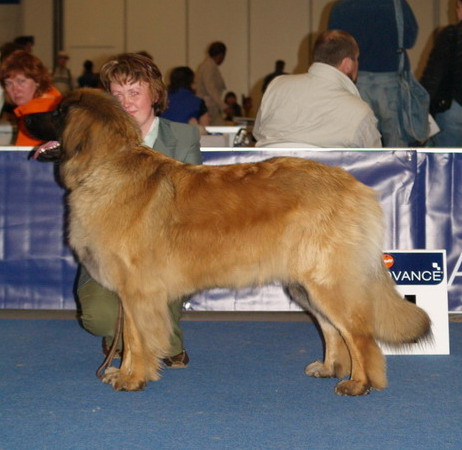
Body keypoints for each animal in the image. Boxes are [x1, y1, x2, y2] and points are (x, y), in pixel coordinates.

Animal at [25, 88, 431, 396]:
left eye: (58, 112)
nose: (22, 116)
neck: (106, 165)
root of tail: (356, 186)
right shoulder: (132, 293)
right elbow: (129, 337)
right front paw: (125, 372)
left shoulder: (138, 291)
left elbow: (137, 339)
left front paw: (132, 377)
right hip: (304, 285)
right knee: (333, 329)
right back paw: (330, 367)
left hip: (328, 281)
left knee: (360, 336)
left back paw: (359, 384)